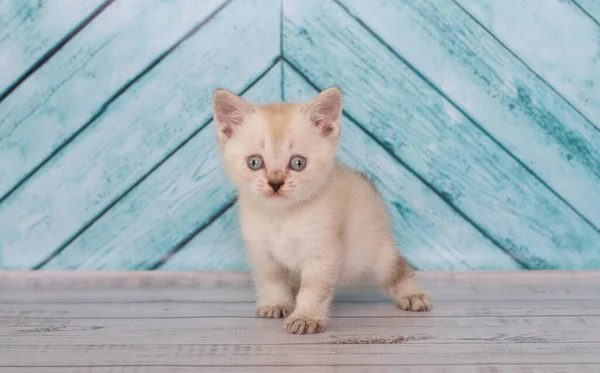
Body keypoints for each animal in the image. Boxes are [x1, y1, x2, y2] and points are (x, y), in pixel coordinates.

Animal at [211, 86, 432, 334]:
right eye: (254, 162)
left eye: (298, 163)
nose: (275, 184)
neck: (281, 216)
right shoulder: (262, 253)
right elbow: (271, 280)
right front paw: (276, 303)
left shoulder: (322, 253)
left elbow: (314, 290)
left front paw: (306, 318)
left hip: (374, 252)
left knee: (397, 268)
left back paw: (413, 295)